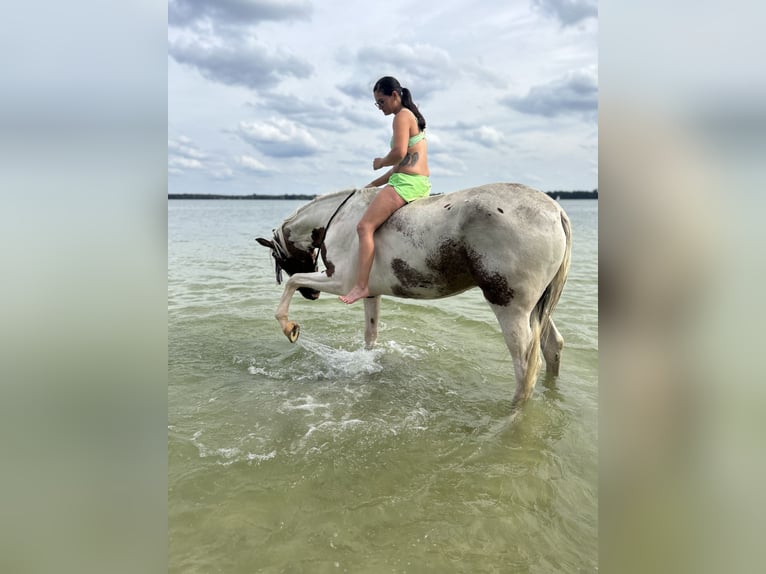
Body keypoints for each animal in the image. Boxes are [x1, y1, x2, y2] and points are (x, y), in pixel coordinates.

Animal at [256, 182, 568, 402]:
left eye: (279, 260)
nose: (313, 296)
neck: (339, 219)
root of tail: (556, 211)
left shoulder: (341, 283)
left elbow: (293, 282)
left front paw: (289, 327)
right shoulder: (368, 293)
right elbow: (370, 336)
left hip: (510, 309)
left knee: (525, 370)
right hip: (535, 309)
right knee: (553, 346)